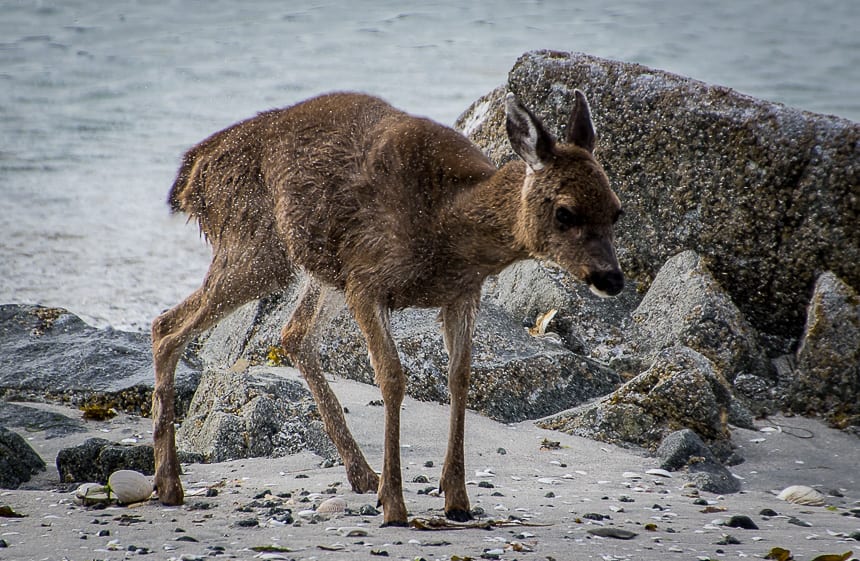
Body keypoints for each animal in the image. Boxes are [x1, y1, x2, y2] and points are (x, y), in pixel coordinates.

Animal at [153, 89, 624, 528]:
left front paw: (457, 498)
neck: (448, 226)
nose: (613, 279)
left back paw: (361, 474)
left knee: (291, 333)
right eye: (565, 212)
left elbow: (460, 378)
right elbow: (393, 378)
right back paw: (169, 482)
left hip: (320, 269)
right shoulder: (367, 282)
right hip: (257, 249)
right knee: (167, 326)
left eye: (617, 211)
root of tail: (190, 175)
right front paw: (395, 504)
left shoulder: (462, 294)